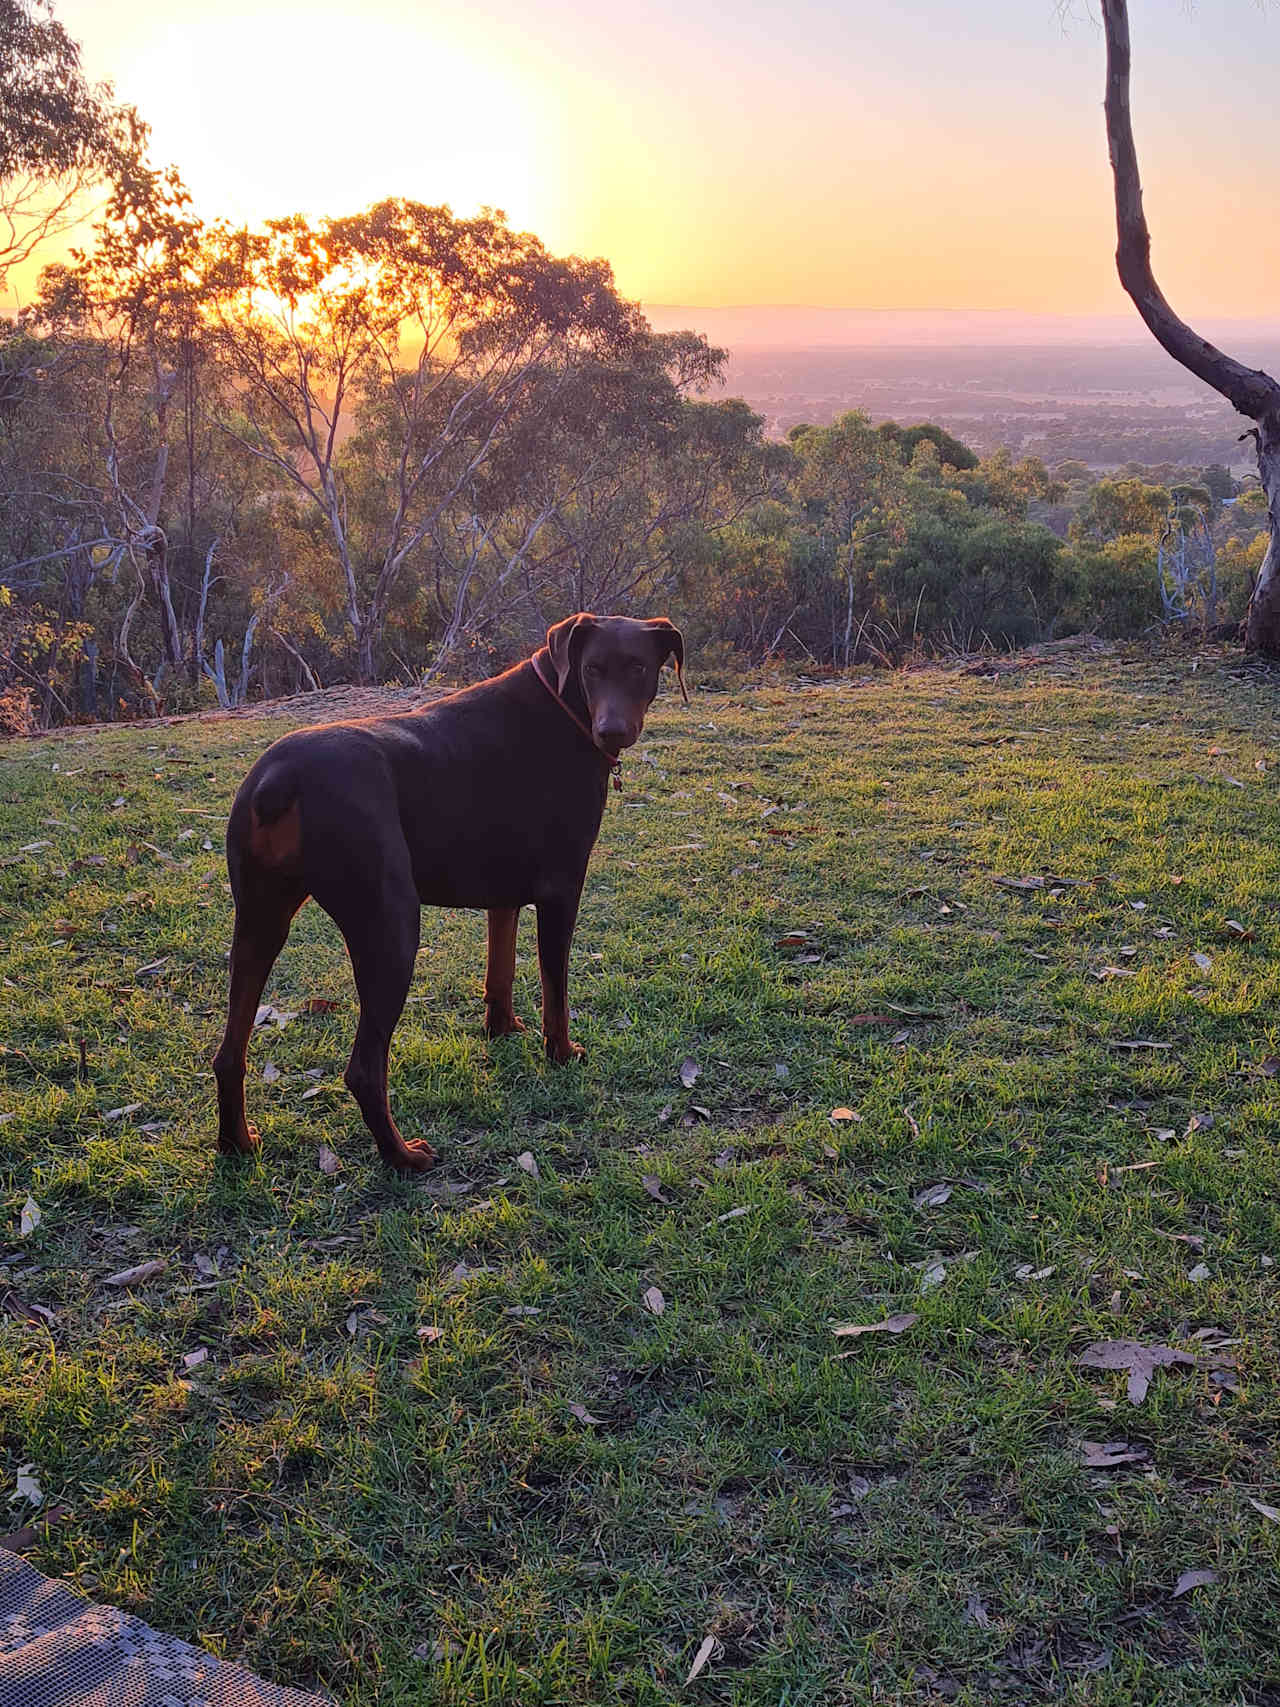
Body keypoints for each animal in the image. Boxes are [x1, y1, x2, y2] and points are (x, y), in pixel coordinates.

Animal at [215, 617, 686, 1174]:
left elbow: (500, 972)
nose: (611, 731)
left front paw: (502, 1028)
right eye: (592, 669)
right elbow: (556, 990)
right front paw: (562, 1052)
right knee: (363, 1069)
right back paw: (402, 1156)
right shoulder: (561, 890)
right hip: (391, 926)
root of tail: (278, 780)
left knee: (229, 1053)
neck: (565, 705)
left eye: (638, 667)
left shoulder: (504, 894)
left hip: (259, 922)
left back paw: (236, 1143)